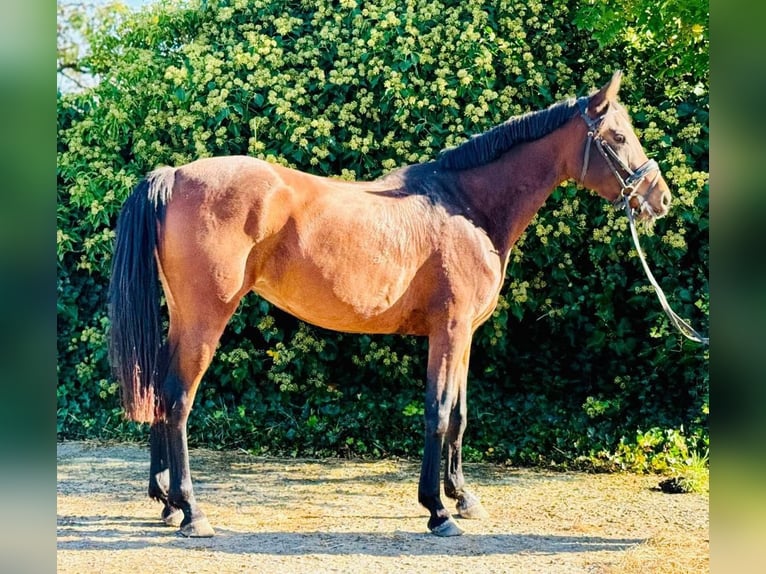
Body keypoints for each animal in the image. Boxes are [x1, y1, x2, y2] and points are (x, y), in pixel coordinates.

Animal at [108, 72, 672, 540]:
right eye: (617, 137)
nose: (660, 198)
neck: (465, 206)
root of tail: (175, 175)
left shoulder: (464, 335)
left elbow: (460, 414)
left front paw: (462, 497)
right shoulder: (449, 330)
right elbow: (438, 413)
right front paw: (438, 512)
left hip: (182, 318)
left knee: (159, 392)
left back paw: (166, 503)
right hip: (206, 319)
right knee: (178, 399)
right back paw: (192, 511)